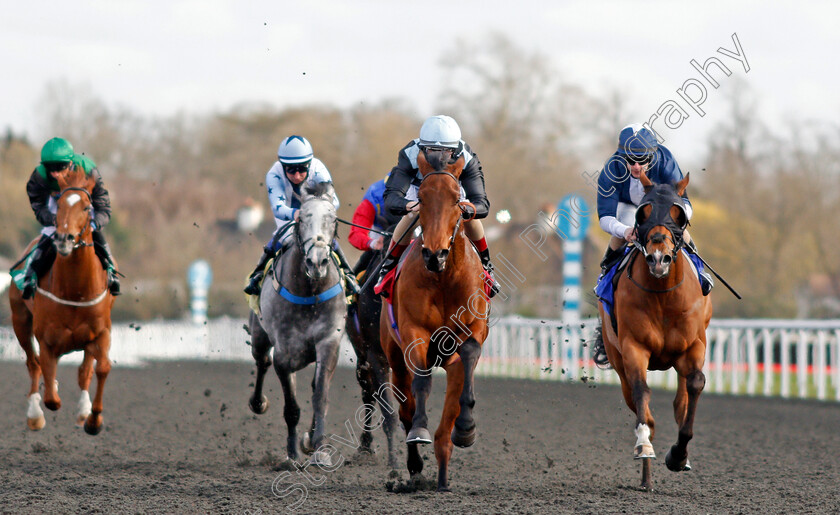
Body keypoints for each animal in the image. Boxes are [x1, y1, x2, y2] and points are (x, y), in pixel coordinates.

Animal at [7, 166, 116, 436]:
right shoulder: (46, 338)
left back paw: (83, 410)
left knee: (84, 370)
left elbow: (100, 368)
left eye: (87, 207)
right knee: (33, 363)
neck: (75, 291)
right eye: (59, 204)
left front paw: (93, 419)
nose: (64, 238)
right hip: (20, 321)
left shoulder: (101, 332)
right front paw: (46, 399)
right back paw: (35, 414)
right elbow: (50, 393)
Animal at [248, 181, 346, 468]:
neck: (310, 292)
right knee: (262, 361)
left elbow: (320, 395)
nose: (317, 261)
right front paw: (291, 455)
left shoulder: (328, 341)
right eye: (302, 218)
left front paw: (318, 448)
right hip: (259, 336)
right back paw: (258, 403)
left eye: (333, 219)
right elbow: (291, 408)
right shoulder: (284, 353)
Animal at [378, 149, 488, 492]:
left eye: (456, 198)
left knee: (445, 431)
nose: (434, 255)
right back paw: (415, 466)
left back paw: (442, 476)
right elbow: (422, 381)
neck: (443, 279)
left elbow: (469, 353)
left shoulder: (474, 329)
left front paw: (466, 428)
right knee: (406, 407)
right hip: (394, 360)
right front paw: (420, 430)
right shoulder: (416, 332)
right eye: (423, 198)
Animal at [592, 170, 712, 492]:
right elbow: (641, 393)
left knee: (681, 399)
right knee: (637, 402)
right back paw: (646, 476)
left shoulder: (694, 345)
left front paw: (679, 456)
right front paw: (644, 445)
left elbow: (696, 384)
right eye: (642, 214)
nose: (659, 258)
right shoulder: (634, 347)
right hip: (617, 357)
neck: (662, 295)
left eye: (678, 214)